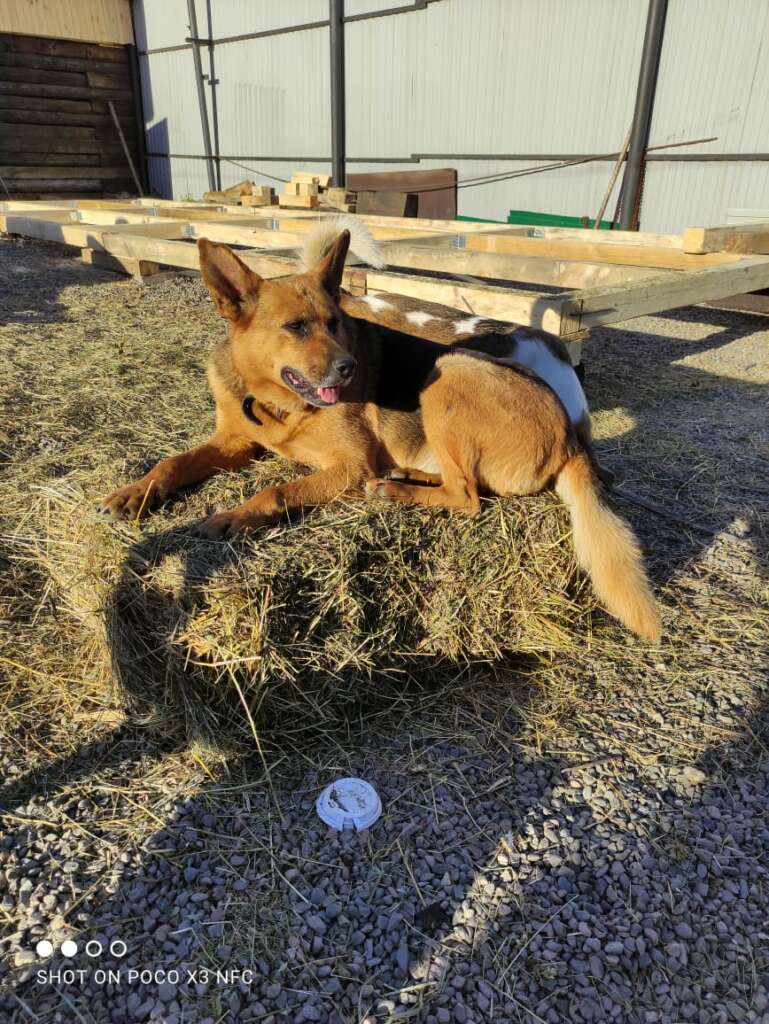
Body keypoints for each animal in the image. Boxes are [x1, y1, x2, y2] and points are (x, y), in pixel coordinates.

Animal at [99, 222, 659, 638]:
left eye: (335, 323)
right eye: (297, 327)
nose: (348, 369)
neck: (278, 403)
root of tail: (570, 434)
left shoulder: (349, 465)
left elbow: (277, 490)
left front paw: (236, 515)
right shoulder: (232, 443)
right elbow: (173, 461)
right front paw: (135, 493)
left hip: (447, 374)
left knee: (468, 498)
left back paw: (394, 489)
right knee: (459, 484)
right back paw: (406, 477)